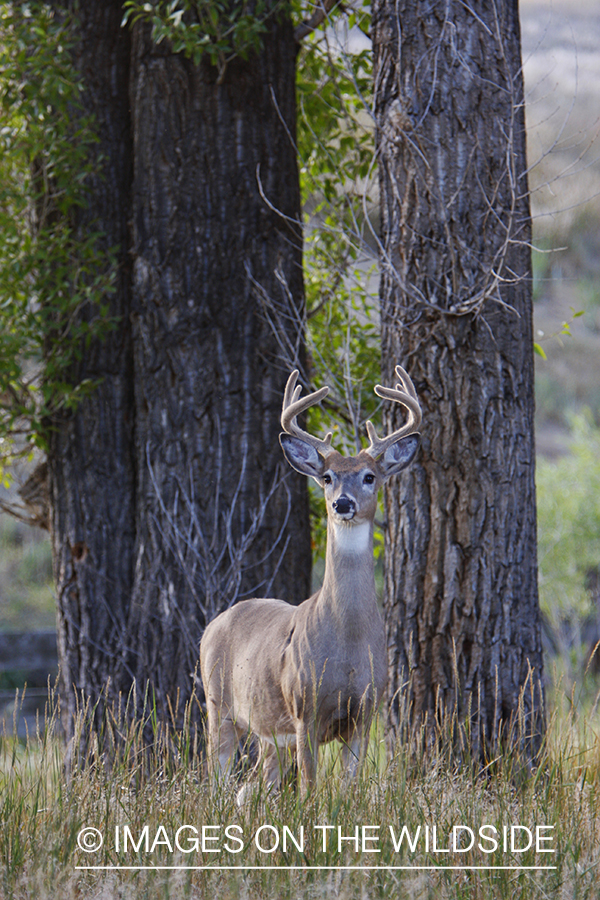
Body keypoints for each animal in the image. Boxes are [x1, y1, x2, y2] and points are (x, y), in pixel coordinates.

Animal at [199, 362, 420, 800]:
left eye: (370, 476)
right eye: (328, 477)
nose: (342, 504)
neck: (347, 644)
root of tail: (211, 626)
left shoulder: (364, 713)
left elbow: (349, 790)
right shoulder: (305, 708)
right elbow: (309, 791)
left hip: (268, 732)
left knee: (252, 787)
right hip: (219, 706)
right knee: (216, 780)